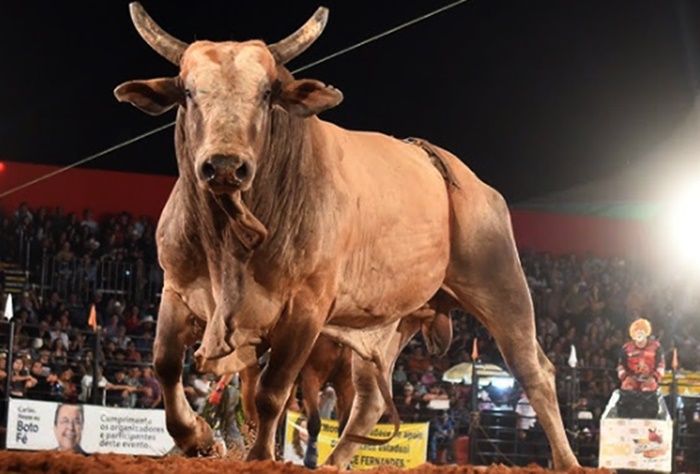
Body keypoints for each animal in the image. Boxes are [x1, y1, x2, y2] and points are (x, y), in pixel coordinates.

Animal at [114, 2, 579, 470]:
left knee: (534, 371)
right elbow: (166, 365)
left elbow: (271, 391)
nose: (225, 165)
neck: (229, 239)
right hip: (393, 324)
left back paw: (567, 461)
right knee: (370, 398)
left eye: (266, 94)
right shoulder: (178, 288)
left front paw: (260, 455)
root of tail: (464, 178)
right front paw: (198, 438)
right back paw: (334, 461)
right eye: (189, 92)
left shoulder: (306, 310)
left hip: (502, 287)